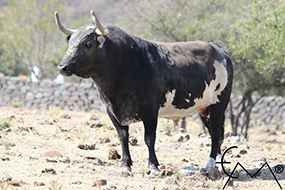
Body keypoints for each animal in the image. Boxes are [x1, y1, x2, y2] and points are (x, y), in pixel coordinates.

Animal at [53, 10, 233, 174]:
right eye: (70, 43)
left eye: (88, 44)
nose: (62, 67)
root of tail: (218, 49)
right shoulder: (112, 111)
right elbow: (123, 137)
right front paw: (125, 164)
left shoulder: (150, 110)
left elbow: (149, 138)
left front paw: (153, 166)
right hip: (204, 108)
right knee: (214, 133)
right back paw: (216, 162)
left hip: (219, 104)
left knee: (215, 133)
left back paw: (209, 165)